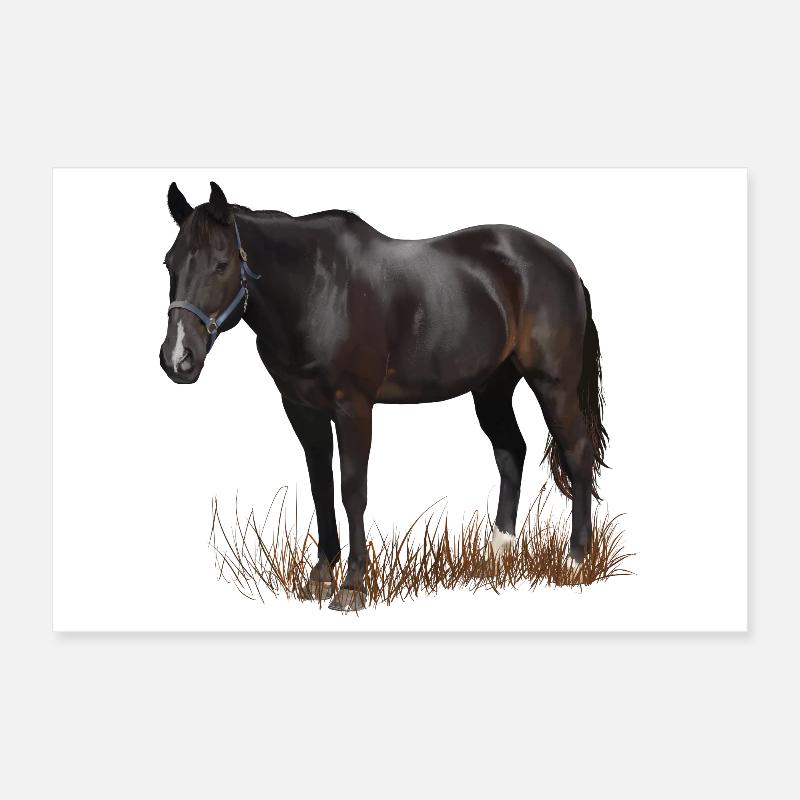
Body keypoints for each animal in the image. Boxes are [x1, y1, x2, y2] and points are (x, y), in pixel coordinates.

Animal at [159, 182, 608, 611]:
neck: (316, 289)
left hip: (553, 384)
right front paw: (320, 575)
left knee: (577, 451)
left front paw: (353, 585)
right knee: (511, 451)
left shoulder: (353, 408)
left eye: (221, 264)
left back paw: (575, 560)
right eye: (169, 262)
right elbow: (321, 486)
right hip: (491, 387)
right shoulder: (302, 409)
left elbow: (352, 490)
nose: (178, 358)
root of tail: (565, 266)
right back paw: (498, 554)